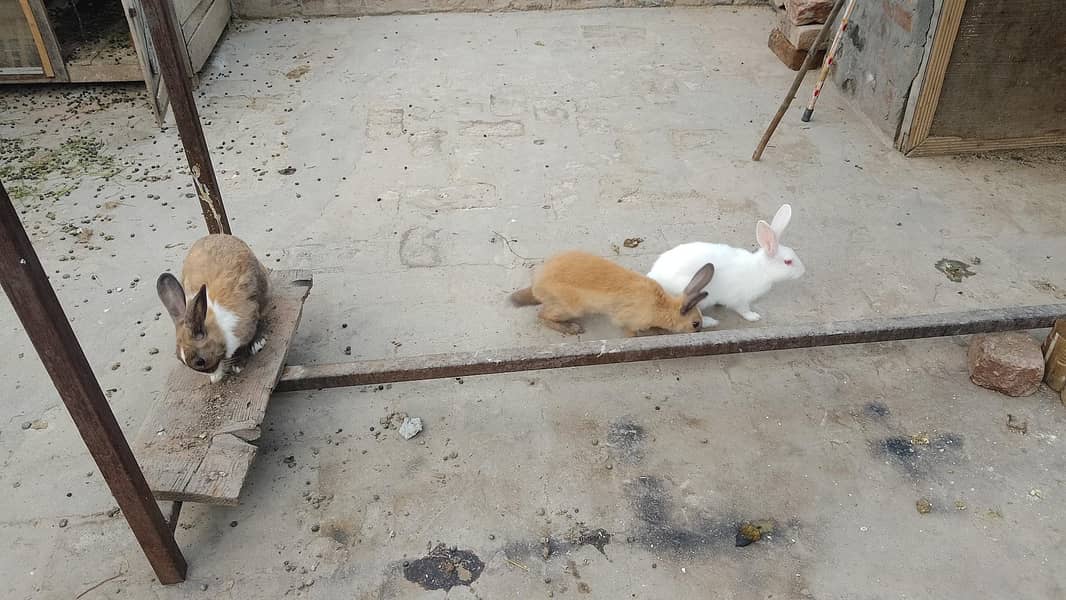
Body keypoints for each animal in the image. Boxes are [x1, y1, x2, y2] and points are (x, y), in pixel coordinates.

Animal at [156, 234, 270, 384]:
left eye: (200, 362)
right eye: (181, 361)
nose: (213, 377)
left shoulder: (247, 321)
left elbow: (242, 346)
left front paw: (237, 366)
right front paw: (217, 376)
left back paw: (258, 342)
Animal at [510, 250, 715, 337]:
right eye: (695, 324)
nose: (699, 332)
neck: (662, 308)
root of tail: (537, 284)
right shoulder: (628, 321)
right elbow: (631, 332)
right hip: (570, 308)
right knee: (541, 315)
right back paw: (572, 329)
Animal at [647, 204, 805, 328]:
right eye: (788, 262)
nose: (803, 271)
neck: (760, 269)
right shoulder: (740, 299)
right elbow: (743, 310)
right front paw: (754, 317)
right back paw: (711, 322)